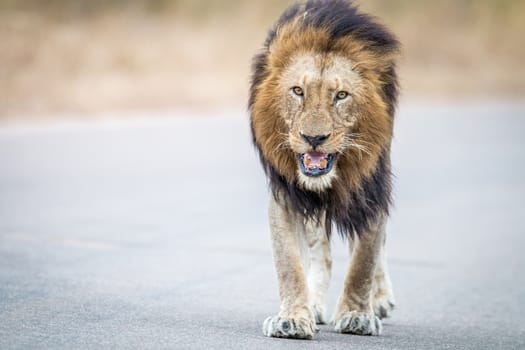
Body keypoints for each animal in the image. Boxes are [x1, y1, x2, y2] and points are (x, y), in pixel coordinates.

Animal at [248, 0, 400, 340]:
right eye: (297, 91)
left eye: (341, 95)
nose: (314, 138)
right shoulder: (286, 194)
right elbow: (288, 263)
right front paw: (292, 319)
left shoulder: (371, 189)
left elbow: (364, 260)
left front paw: (358, 316)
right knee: (321, 253)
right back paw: (315, 305)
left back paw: (380, 299)